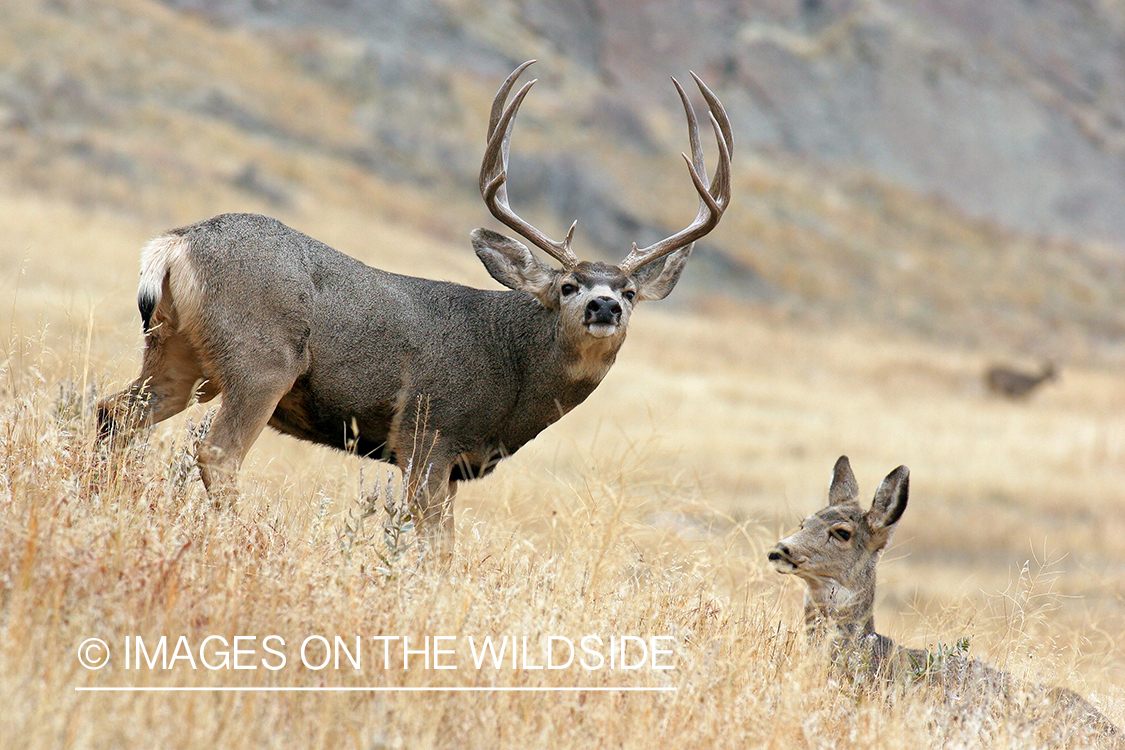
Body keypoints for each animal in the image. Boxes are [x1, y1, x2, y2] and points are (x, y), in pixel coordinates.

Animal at [94, 62, 729, 550]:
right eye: (569, 285)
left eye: (630, 292)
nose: (604, 307)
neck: (513, 367)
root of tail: (177, 242)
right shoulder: (427, 433)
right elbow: (435, 544)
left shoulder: (453, 462)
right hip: (261, 360)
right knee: (217, 452)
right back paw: (240, 537)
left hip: (178, 355)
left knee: (113, 413)